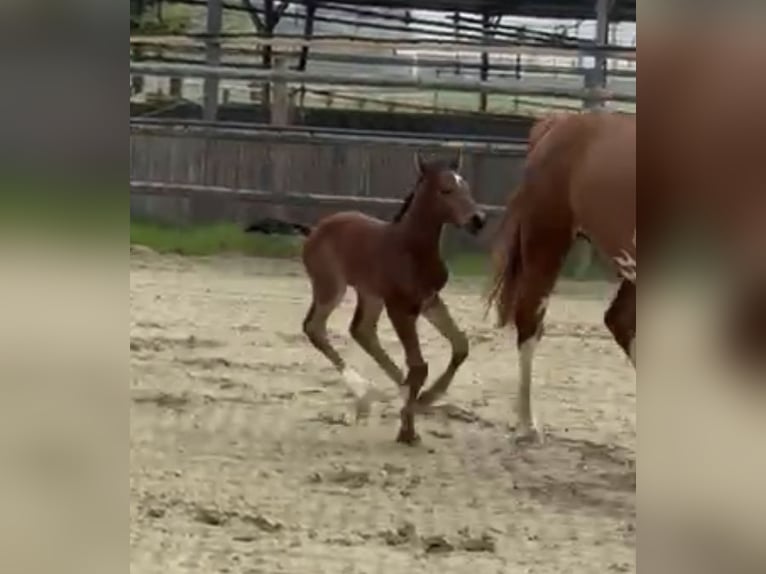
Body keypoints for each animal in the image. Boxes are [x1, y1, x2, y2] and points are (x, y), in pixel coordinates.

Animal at [301, 152, 487, 445]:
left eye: (465, 186)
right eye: (446, 189)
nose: (478, 219)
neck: (411, 249)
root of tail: (316, 229)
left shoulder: (429, 301)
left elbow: (460, 345)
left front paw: (424, 399)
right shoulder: (399, 308)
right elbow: (419, 366)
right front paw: (408, 428)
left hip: (370, 294)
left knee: (362, 331)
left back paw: (395, 389)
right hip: (331, 287)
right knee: (315, 327)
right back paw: (365, 393)